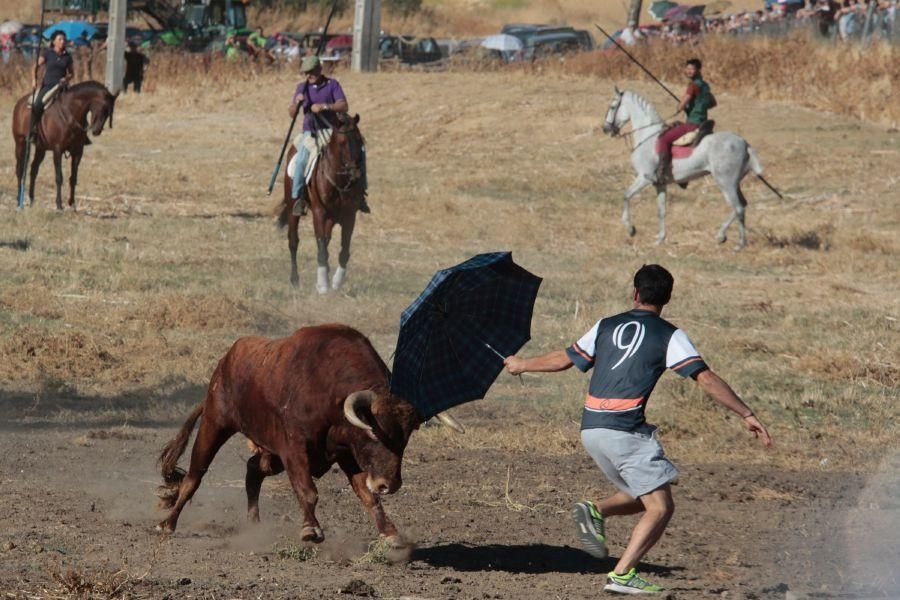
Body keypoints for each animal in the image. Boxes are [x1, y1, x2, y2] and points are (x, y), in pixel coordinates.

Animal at [11, 79, 118, 211]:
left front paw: (72, 204)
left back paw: (31, 199)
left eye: (109, 112)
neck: (70, 113)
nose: (96, 130)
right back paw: (18, 200)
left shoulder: (78, 152)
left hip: (41, 148)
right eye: (103, 108)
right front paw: (59, 204)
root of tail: (19, 103)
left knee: (33, 169)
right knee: (20, 170)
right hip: (20, 143)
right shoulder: (58, 150)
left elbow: (73, 178)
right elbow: (59, 177)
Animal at [155, 324, 460, 544]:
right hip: (214, 425)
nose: (389, 484)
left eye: (408, 434)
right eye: (374, 432)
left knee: (253, 470)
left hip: (270, 456)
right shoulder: (294, 449)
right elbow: (308, 491)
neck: (328, 388)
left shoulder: (347, 455)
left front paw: (390, 533)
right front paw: (311, 529)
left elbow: (368, 497)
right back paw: (168, 524)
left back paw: (253, 523)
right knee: (193, 478)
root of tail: (225, 362)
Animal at [280, 113, 368, 292]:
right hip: (293, 208)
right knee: (293, 241)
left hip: (332, 218)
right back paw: (295, 280)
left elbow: (344, 250)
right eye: (342, 142)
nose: (355, 174)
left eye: (360, 141)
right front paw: (322, 285)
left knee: (326, 240)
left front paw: (335, 282)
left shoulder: (349, 216)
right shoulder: (319, 213)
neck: (339, 181)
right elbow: (321, 248)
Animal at [600, 87, 764, 248]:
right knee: (742, 205)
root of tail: (744, 143)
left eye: (613, 107)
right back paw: (722, 236)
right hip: (734, 184)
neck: (647, 136)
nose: (605, 129)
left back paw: (739, 243)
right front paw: (660, 239)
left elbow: (626, 195)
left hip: (725, 183)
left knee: (738, 208)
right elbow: (661, 210)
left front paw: (630, 228)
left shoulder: (644, 178)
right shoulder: (659, 184)